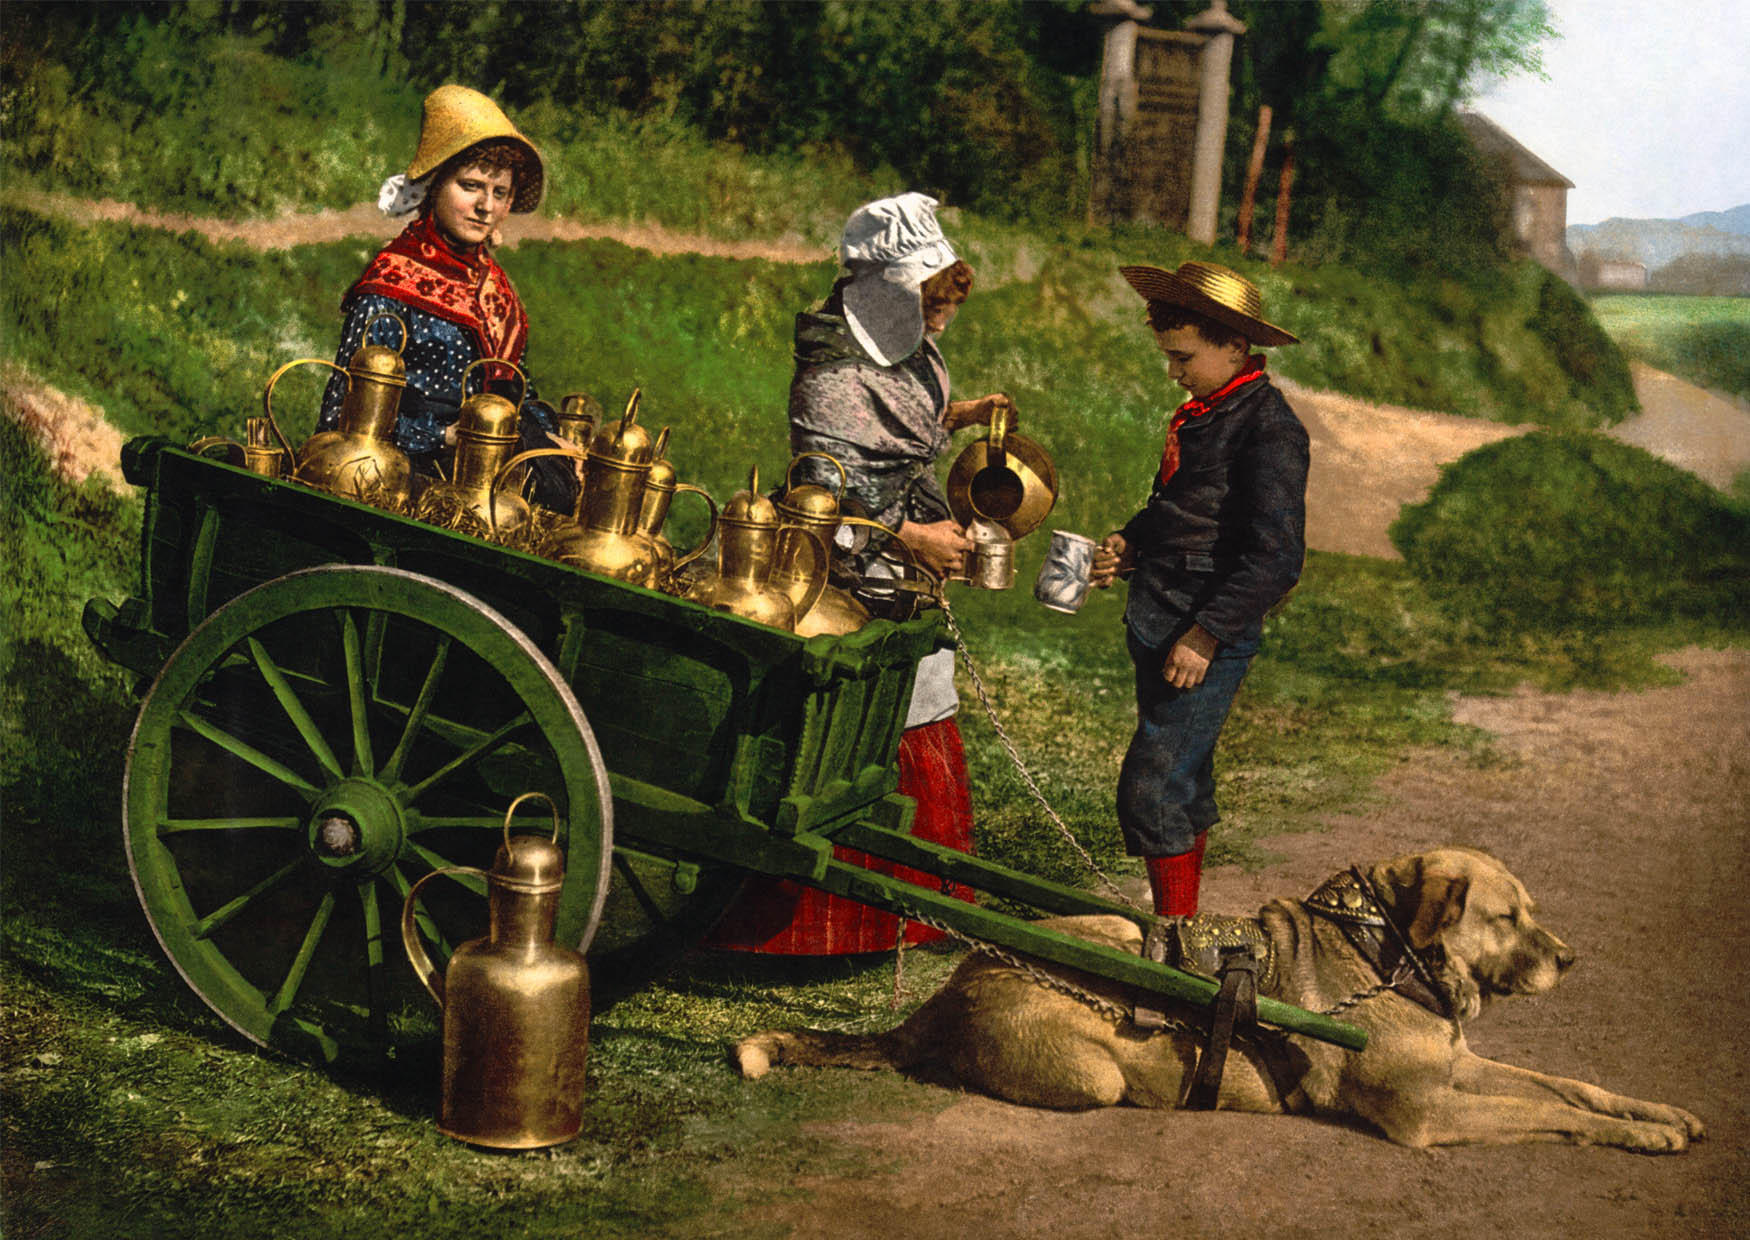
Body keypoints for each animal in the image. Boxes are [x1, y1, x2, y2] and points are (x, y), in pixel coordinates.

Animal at [731, 849, 1701, 1154]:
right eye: (1507, 918)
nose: (1571, 958)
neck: (1385, 952)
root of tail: (947, 991)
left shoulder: (1461, 1068)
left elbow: (1572, 1089)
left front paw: (1659, 1114)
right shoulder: (1429, 1115)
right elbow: (1552, 1113)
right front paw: (1640, 1137)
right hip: (1094, 1061)